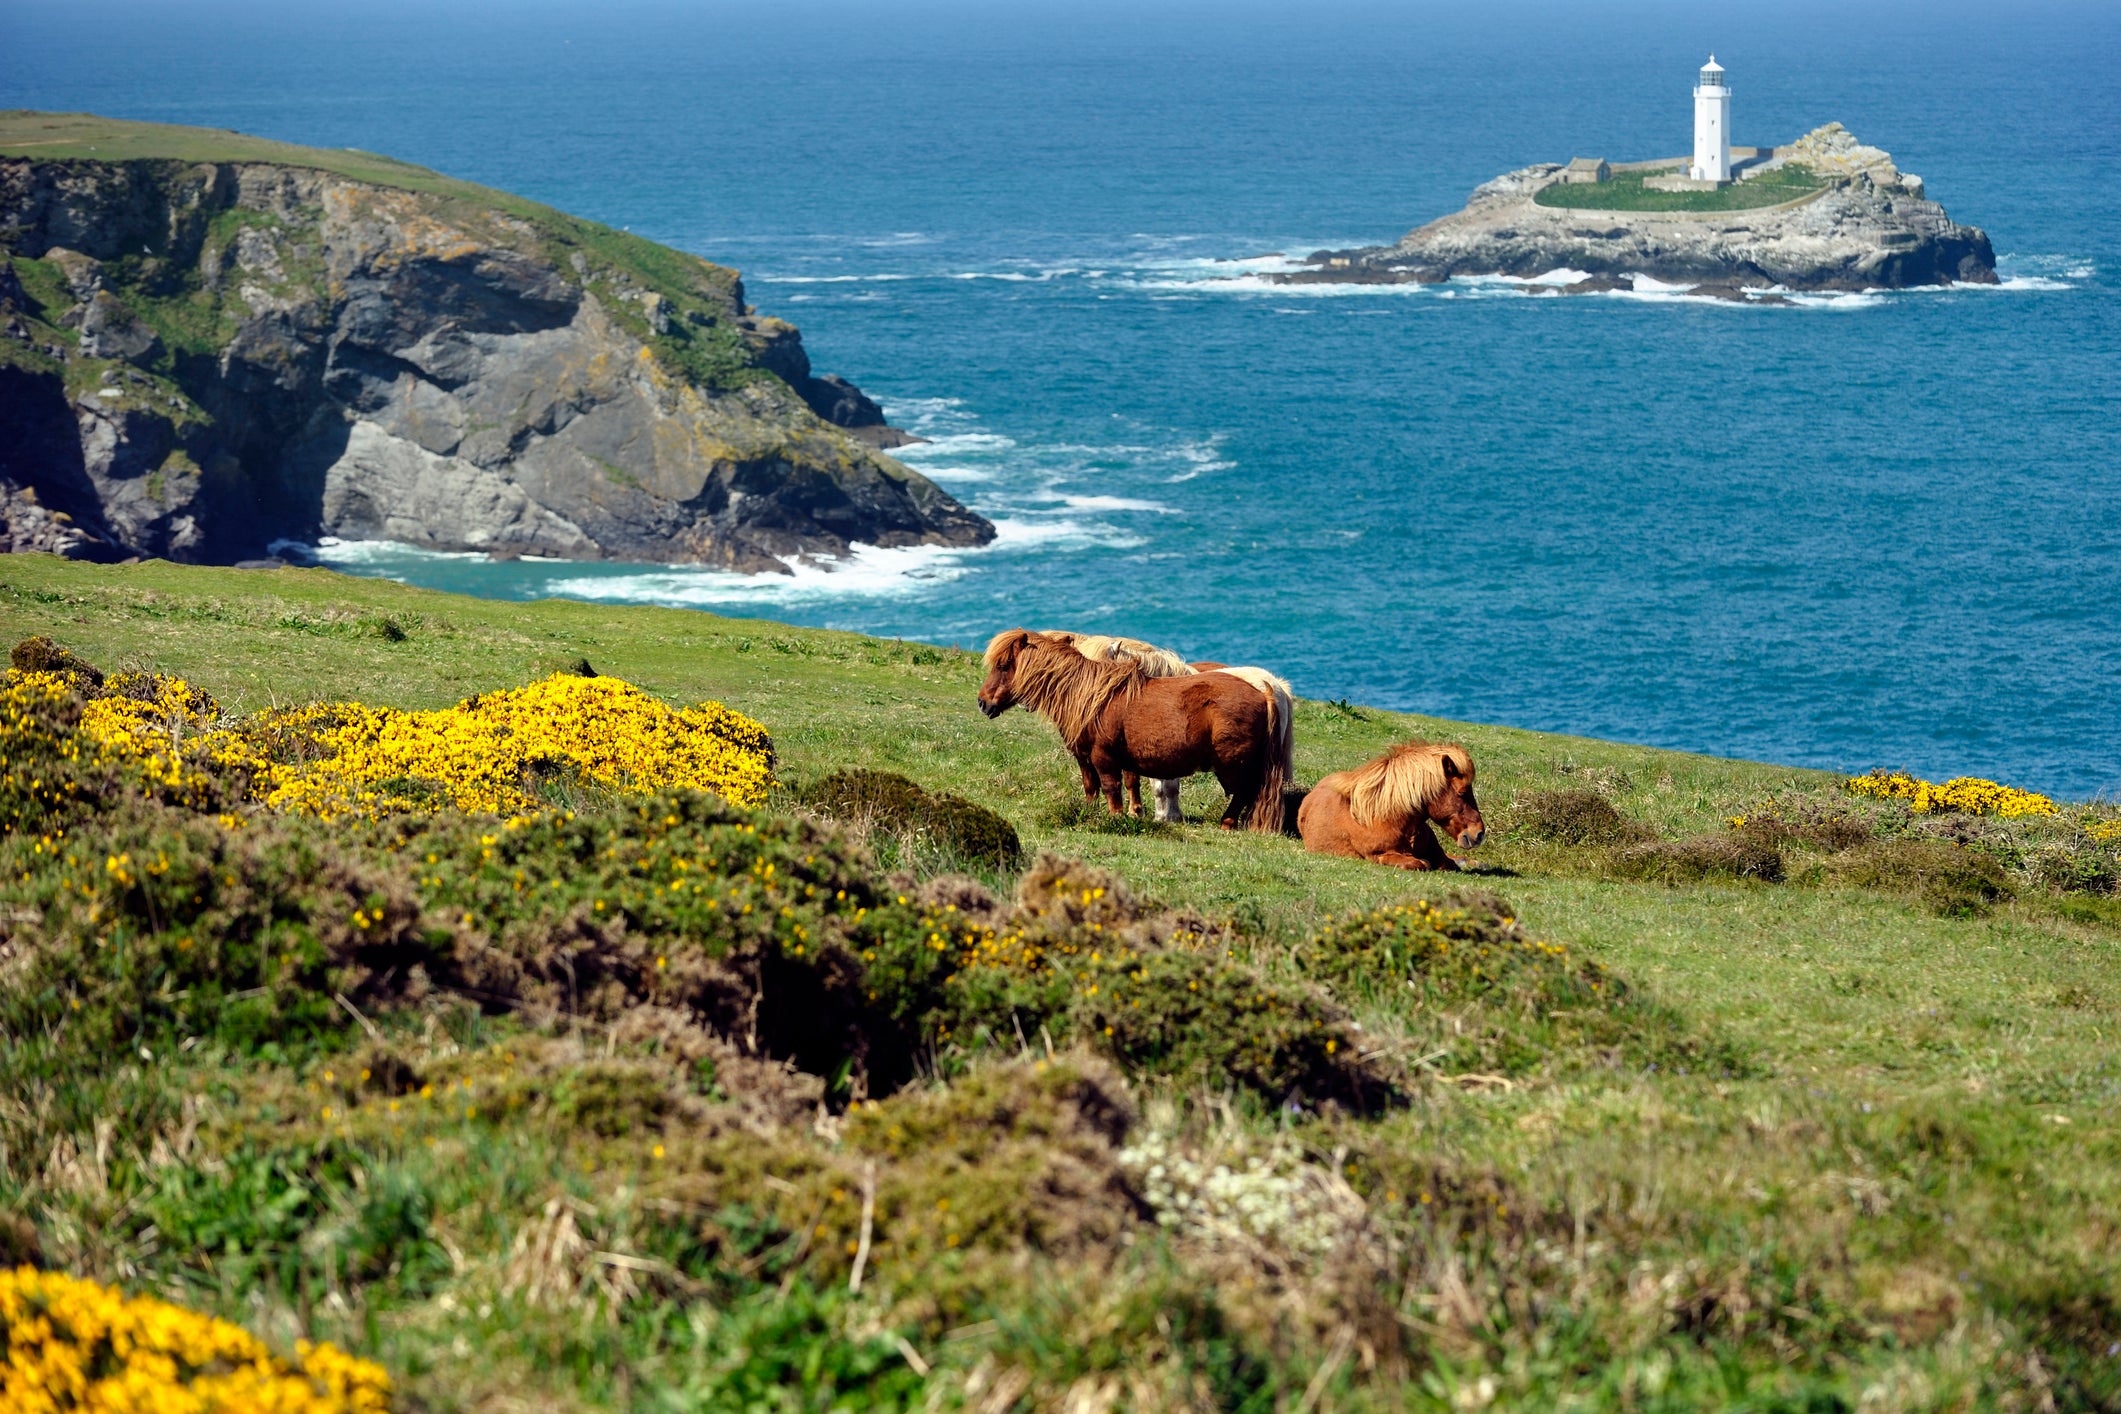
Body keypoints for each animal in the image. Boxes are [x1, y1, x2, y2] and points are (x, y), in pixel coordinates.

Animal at [979, 629, 1288, 832]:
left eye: (1003, 666)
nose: (983, 703)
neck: (1090, 696)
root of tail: (1265, 693)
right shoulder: (1086, 758)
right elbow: (1092, 788)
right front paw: (1093, 815)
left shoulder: (1104, 758)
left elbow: (1111, 788)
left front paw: (1117, 818)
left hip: (1232, 764)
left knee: (1244, 793)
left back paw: (1227, 823)